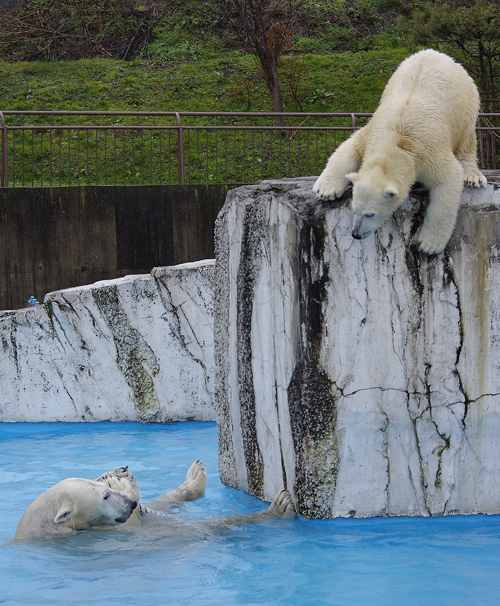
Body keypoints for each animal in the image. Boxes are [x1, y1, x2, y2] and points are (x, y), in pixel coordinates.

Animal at [314, 48, 486, 255]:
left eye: (370, 214)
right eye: (353, 209)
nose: (356, 234)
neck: (397, 143)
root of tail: (439, 54)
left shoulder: (429, 151)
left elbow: (448, 180)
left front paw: (429, 244)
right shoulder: (372, 133)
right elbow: (351, 147)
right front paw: (326, 190)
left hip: (466, 103)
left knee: (466, 138)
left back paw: (473, 176)